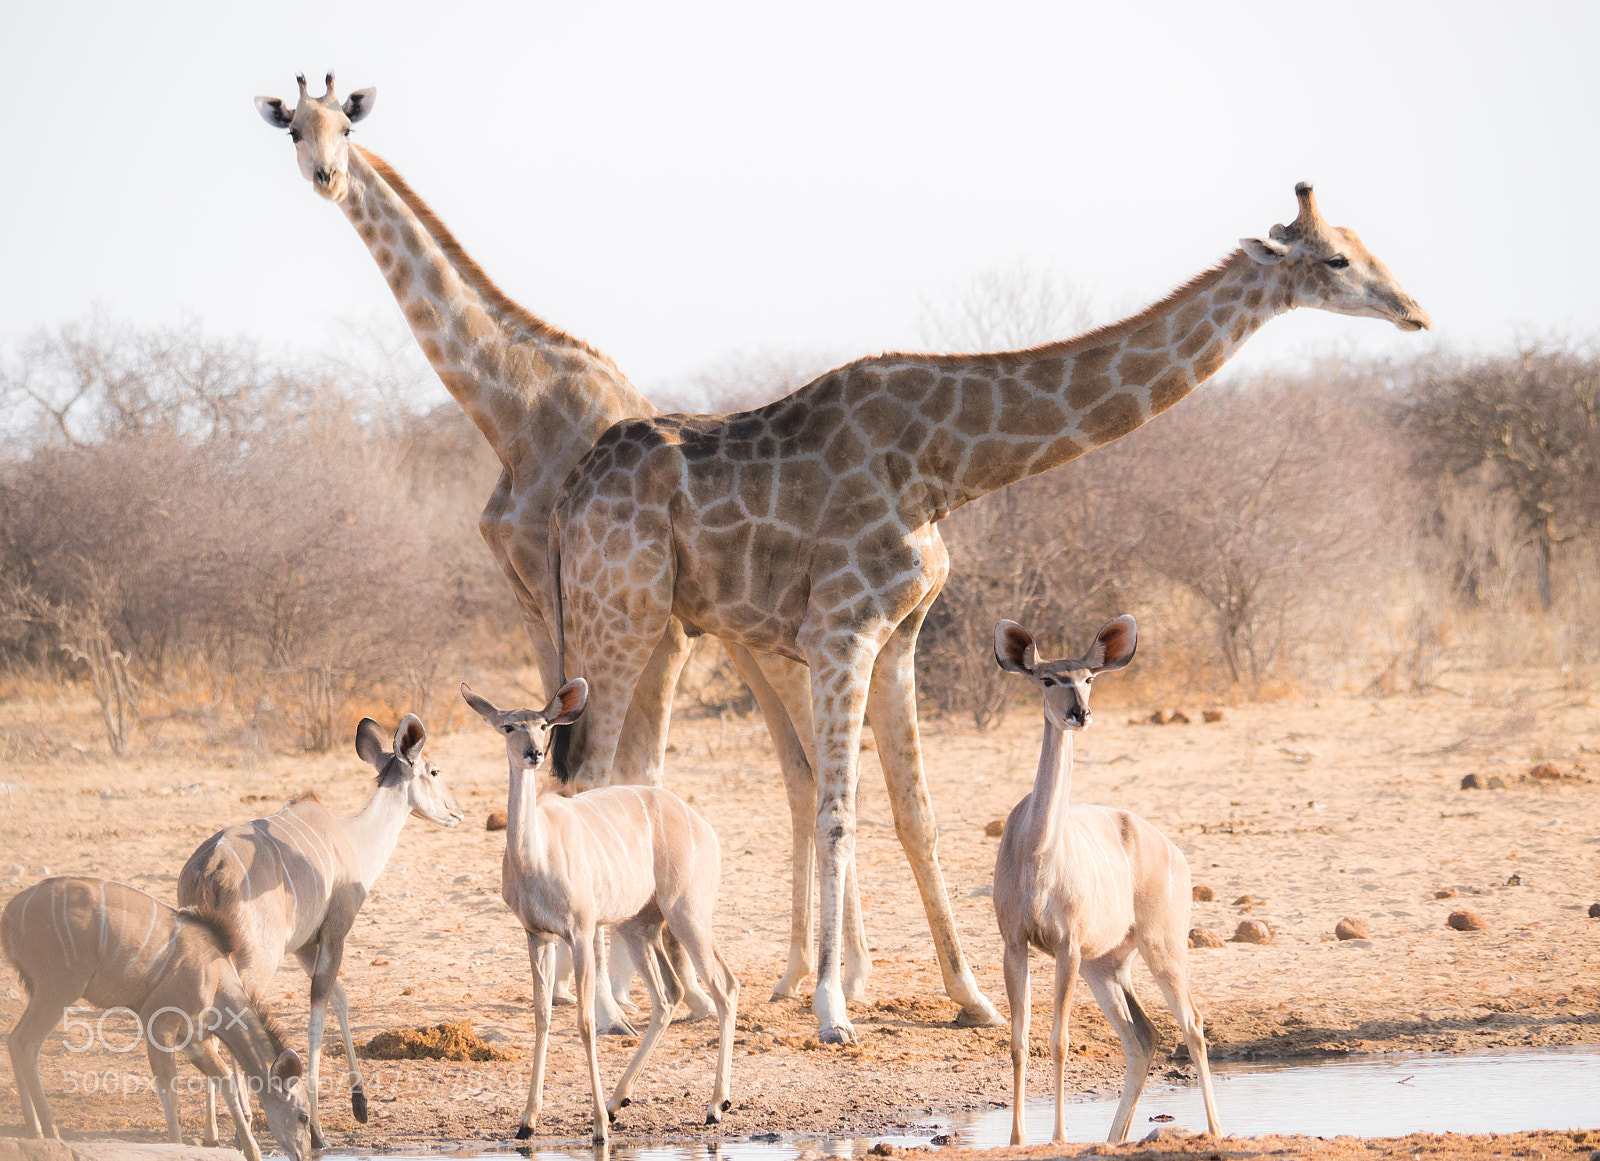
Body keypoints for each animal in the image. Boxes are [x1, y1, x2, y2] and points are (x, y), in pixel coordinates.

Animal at [251, 72, 871, 1011]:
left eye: (345, 127)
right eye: (293, 128)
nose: (325, 176)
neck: (513, 407)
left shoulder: (625, 613)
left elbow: (607, 764)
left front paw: (615, 990)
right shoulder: (534, 596)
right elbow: (566, 754)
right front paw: (613, 981)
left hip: (772, 644)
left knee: (827, 766)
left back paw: (846, 975)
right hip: (749, 642)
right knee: (803, 772)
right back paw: (801, 972)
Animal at [551, 182, 1430, 1043]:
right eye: (1336, 258)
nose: (1416, 312)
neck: (942, 467)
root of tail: (572, 490)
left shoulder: (896, 637)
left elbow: (917, 815)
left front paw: (970, 996)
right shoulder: (841, 631)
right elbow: (840, 813)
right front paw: (833, 1007)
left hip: (666, 629)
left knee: (628, 778)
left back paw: (653, 995)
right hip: (617, 617)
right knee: (588, 777)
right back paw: (605, 1007)